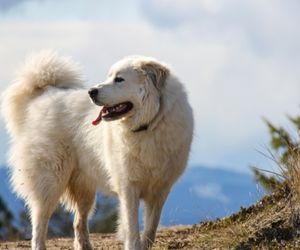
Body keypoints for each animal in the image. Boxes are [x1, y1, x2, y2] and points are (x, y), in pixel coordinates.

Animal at [1, 51, 193, 250]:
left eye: (119, 79)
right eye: (109, 77)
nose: (91, 92)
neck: (149, 125)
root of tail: (45, 94)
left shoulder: (160, 189)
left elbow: (151, 228)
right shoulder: (128, 187)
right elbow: (132, 227)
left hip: (85, 188)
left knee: (78, 221)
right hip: (51, 179)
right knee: (40, 220)